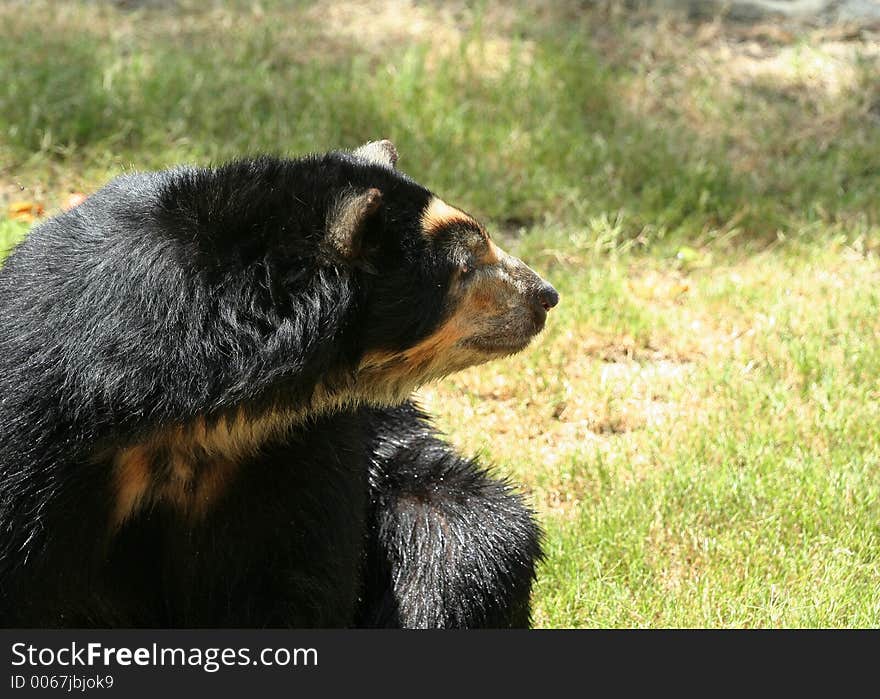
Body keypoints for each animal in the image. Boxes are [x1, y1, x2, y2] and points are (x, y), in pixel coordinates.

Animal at [0, 141, 560, 628]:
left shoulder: (292, 442)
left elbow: (292, 573)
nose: (546, 294)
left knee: (464, 542)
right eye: (466, 266)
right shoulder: (39, 433)